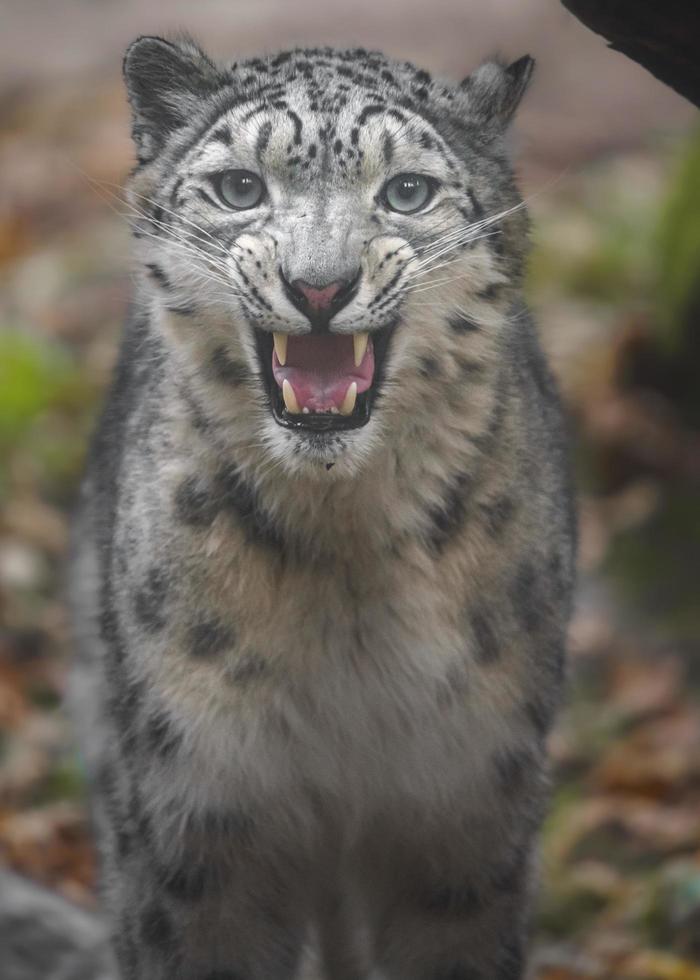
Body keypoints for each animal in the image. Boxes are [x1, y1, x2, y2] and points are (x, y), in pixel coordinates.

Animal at [68, 34, 576, 980]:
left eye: (406, 191)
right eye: (241, 186)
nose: (317, 287)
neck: (345, 550)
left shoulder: (466, 808)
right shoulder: (197, 812)